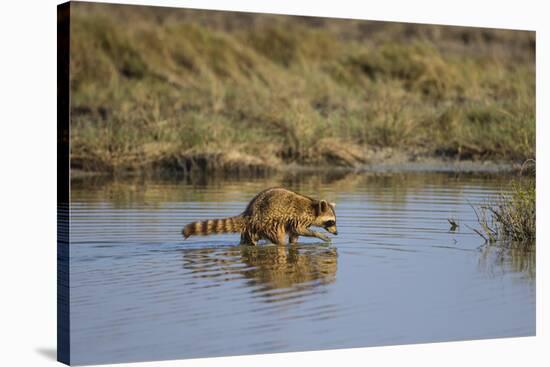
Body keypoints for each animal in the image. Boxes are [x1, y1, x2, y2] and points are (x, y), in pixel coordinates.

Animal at [183, 188, 338, 246]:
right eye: (331, 222)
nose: (337, 233)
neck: (313, 208)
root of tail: (249, 213)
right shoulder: (298, 217)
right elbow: (299, 229)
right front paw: (319, 234)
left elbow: (295, 235)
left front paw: (294, 244)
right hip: (268, 222)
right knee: (278, 238)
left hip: (254, 228)